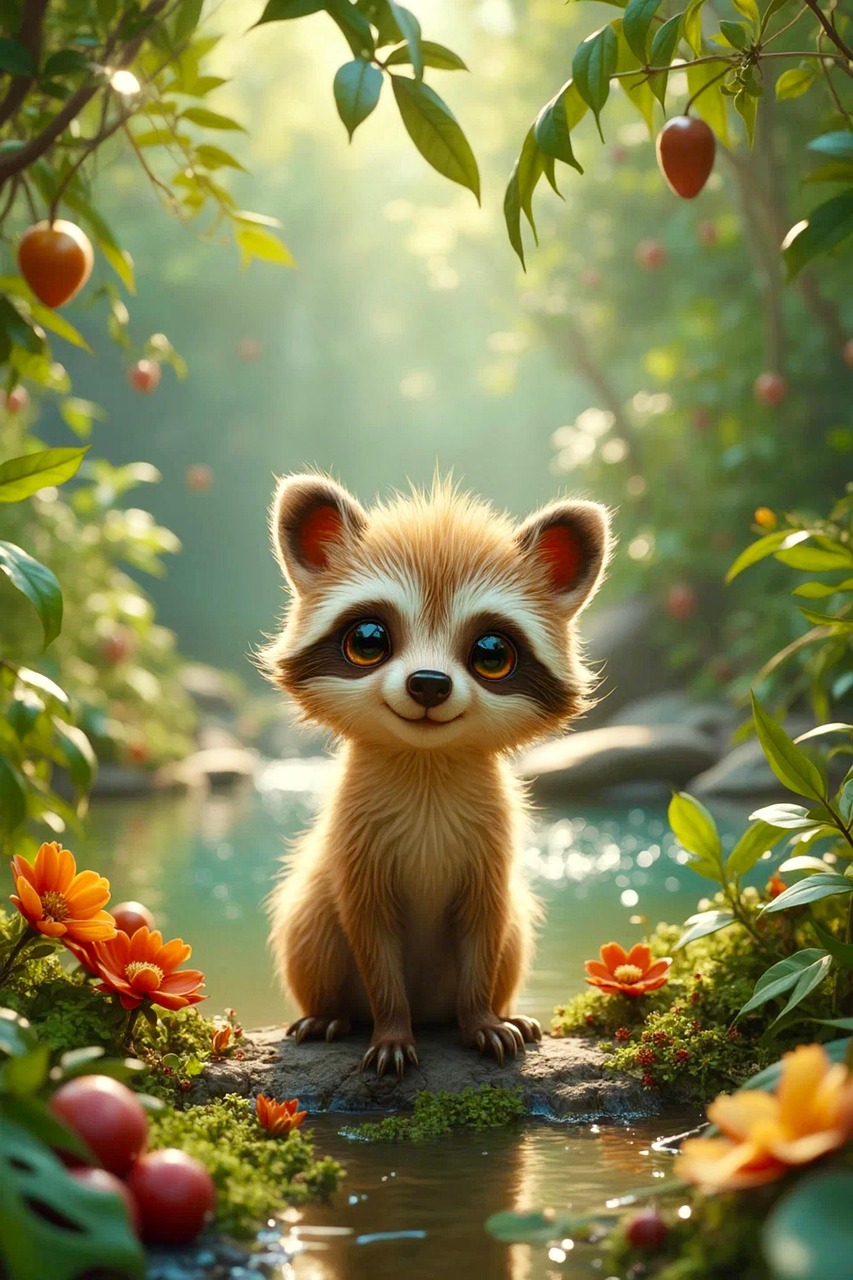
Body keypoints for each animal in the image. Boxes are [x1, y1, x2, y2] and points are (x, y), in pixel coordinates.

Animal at [262, 475, 611, 1078]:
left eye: (491, 653)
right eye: (369, 640)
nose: (428, 683)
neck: (426, 761)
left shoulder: (492, 850)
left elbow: (486, 929)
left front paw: (482, 1019)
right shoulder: (356, 847)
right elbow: (371, 937)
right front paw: (391, 1029)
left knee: (512, 933)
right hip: (313, 915)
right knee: (312, 926)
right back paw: (332, 1014)